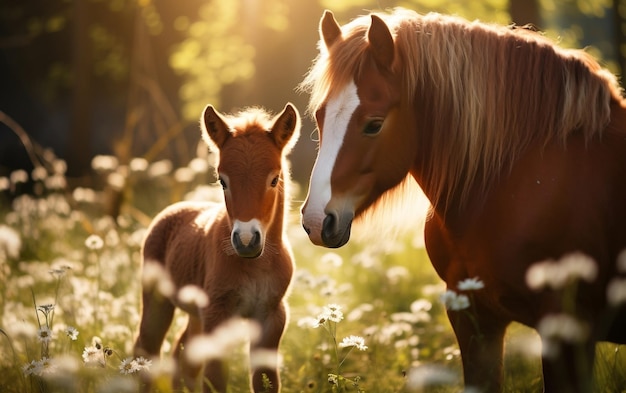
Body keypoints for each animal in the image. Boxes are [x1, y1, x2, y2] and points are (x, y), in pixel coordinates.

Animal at [134, 102, 300, 390]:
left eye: (274, 179)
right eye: (223, 180)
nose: (246, 240)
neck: (255, 265)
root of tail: (173, 209)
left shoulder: (271, 316)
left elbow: (265, 379)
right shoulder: (217, 314)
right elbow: (215, 379)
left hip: (195, 313)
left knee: (182, 353)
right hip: (158, 301)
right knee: (146, 348)